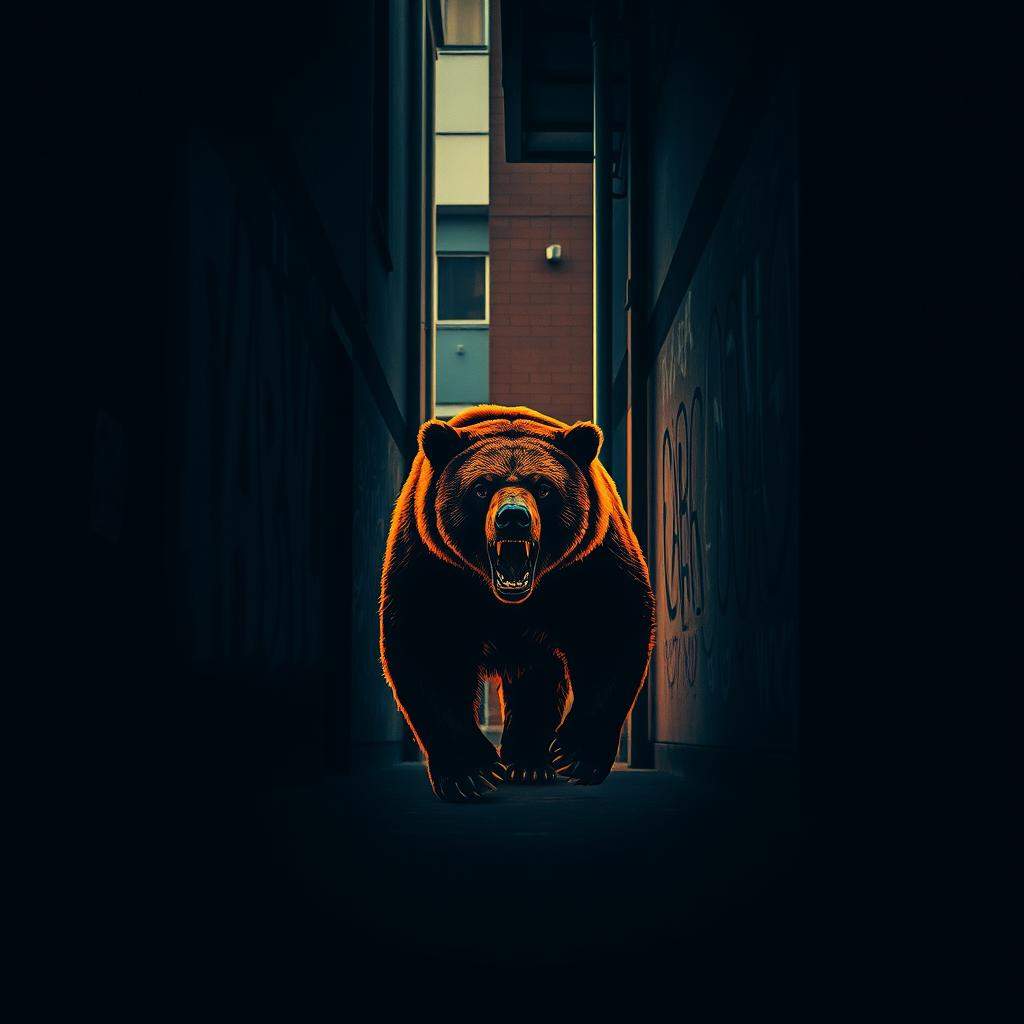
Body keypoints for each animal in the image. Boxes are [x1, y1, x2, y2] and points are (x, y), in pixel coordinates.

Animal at [379, 405, 656, 802]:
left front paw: (575, 756)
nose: (512, 517)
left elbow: (611, 629)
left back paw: (530, 763)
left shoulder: (588, 563)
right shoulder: (434, 566)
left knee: (537, 682)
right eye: (481, 487)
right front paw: (470, 772)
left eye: (543, 487)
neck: (510, 600)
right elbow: (430, 648)